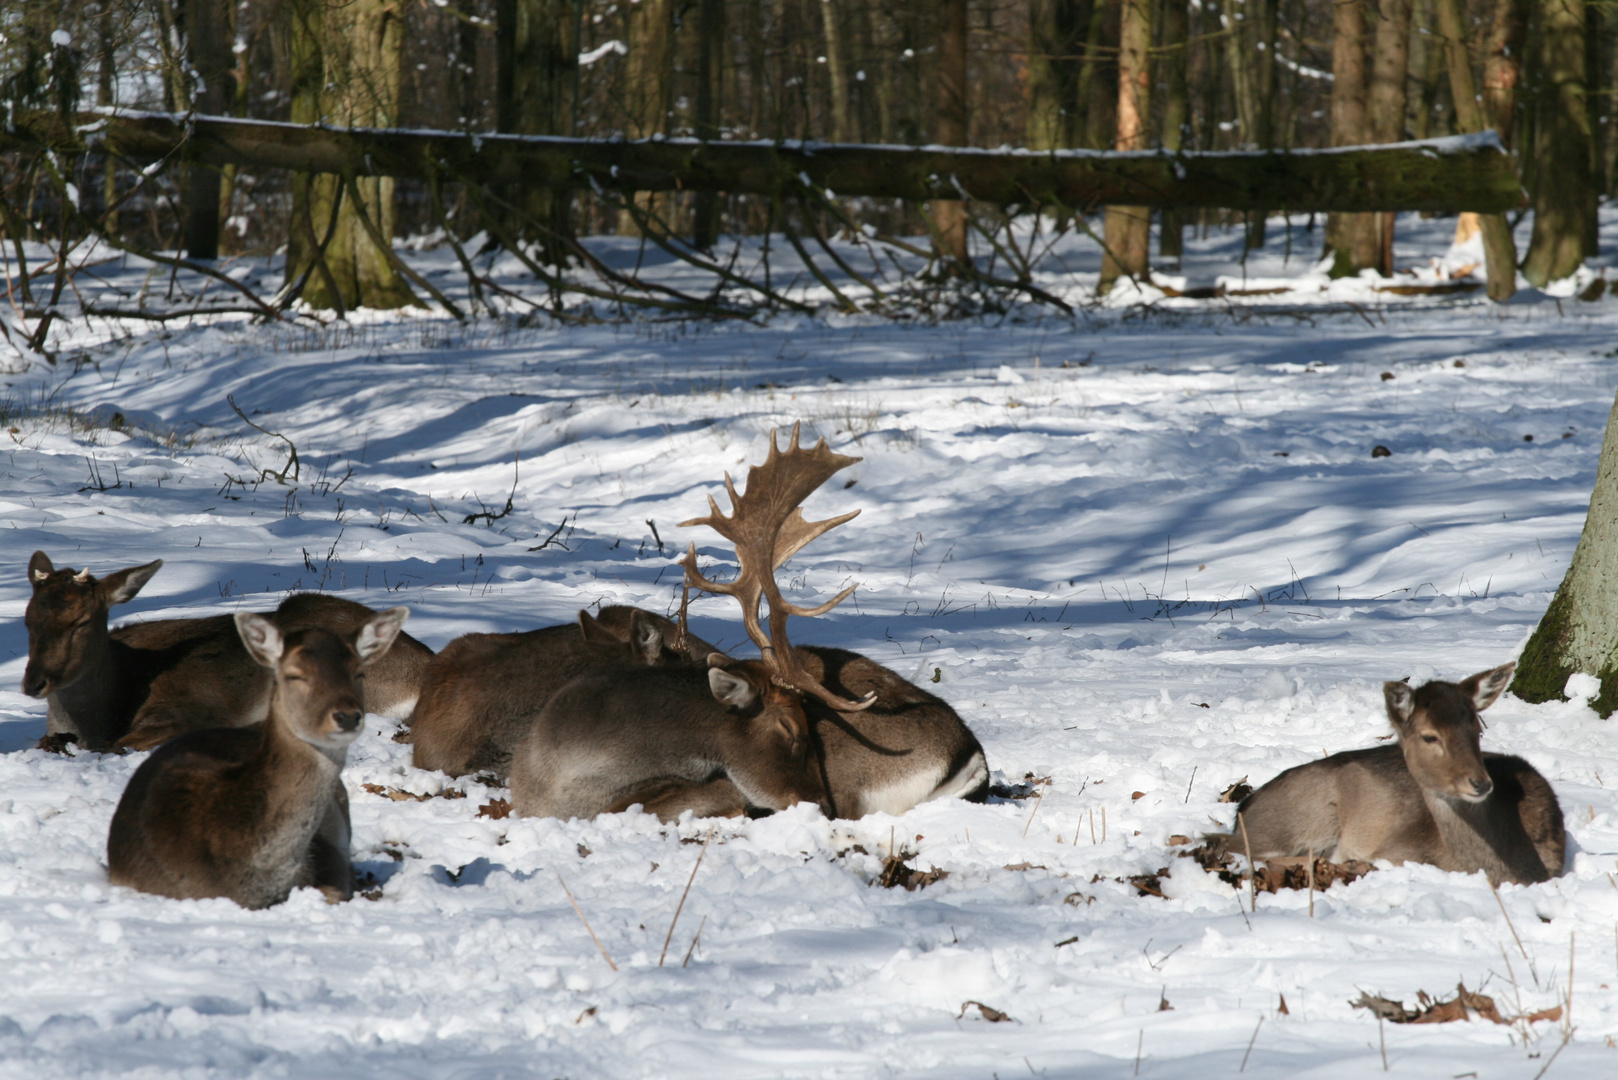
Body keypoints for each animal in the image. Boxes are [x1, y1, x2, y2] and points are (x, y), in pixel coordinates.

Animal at [1216, 663, 1559, 893]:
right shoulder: (1395, 853)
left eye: (1477, 729)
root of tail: (1244, 806)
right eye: (1430, 736)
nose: (1480, 783)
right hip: (1301, 817)